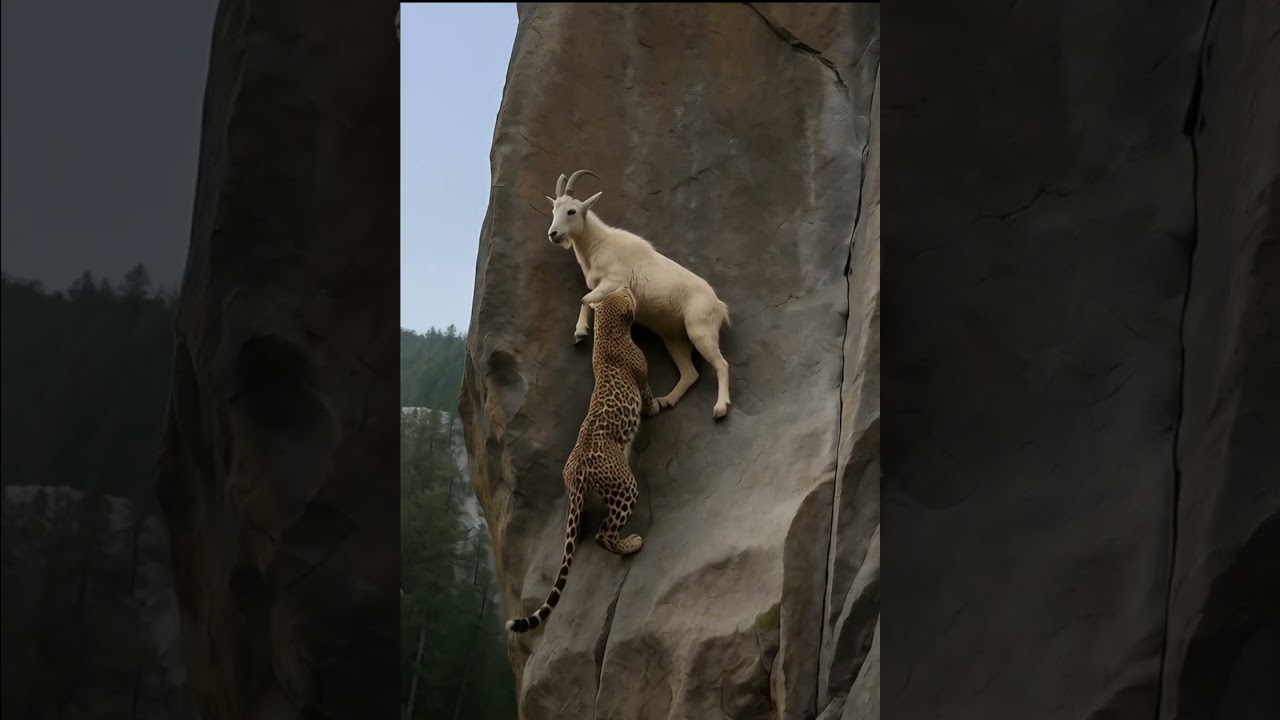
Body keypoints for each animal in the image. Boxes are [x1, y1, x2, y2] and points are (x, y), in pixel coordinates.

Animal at [506, 285, 660, 633]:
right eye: (625, 295)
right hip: (624, 487)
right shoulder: (642, 380)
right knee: (604, 534)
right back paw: (632, 543)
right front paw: (660, 405)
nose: (628, 288)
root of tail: (576, 473)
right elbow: (648, 399)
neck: (608, 336)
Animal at [545, 169, 732, 420]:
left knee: (721, 365)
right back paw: (666, 400)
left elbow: (584, 299)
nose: (553, 234)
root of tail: (720, 307)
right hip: (675, 339)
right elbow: (589, 301)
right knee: (689, 372)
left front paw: (580, 333)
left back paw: (720, 409)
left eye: (572, 211)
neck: (600, 244)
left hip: (701, 330)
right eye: (554, 210)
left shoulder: (613, 282)